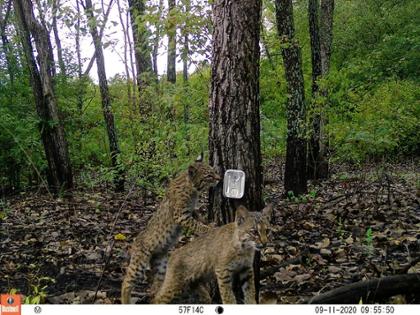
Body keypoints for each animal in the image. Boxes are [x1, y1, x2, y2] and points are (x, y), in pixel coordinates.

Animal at [120, 159, 221, 304]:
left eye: (214, 172)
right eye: (209, 175)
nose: (219, 179)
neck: (192, 188)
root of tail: (134, 241)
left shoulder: (191, 212)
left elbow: (199, 218)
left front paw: (208, 222)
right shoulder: (181, 215)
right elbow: (196, 225)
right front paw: (209, 228)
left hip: (161, 264)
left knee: (157, 288)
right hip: (140, 262)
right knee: (126, 281)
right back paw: (125, 300)